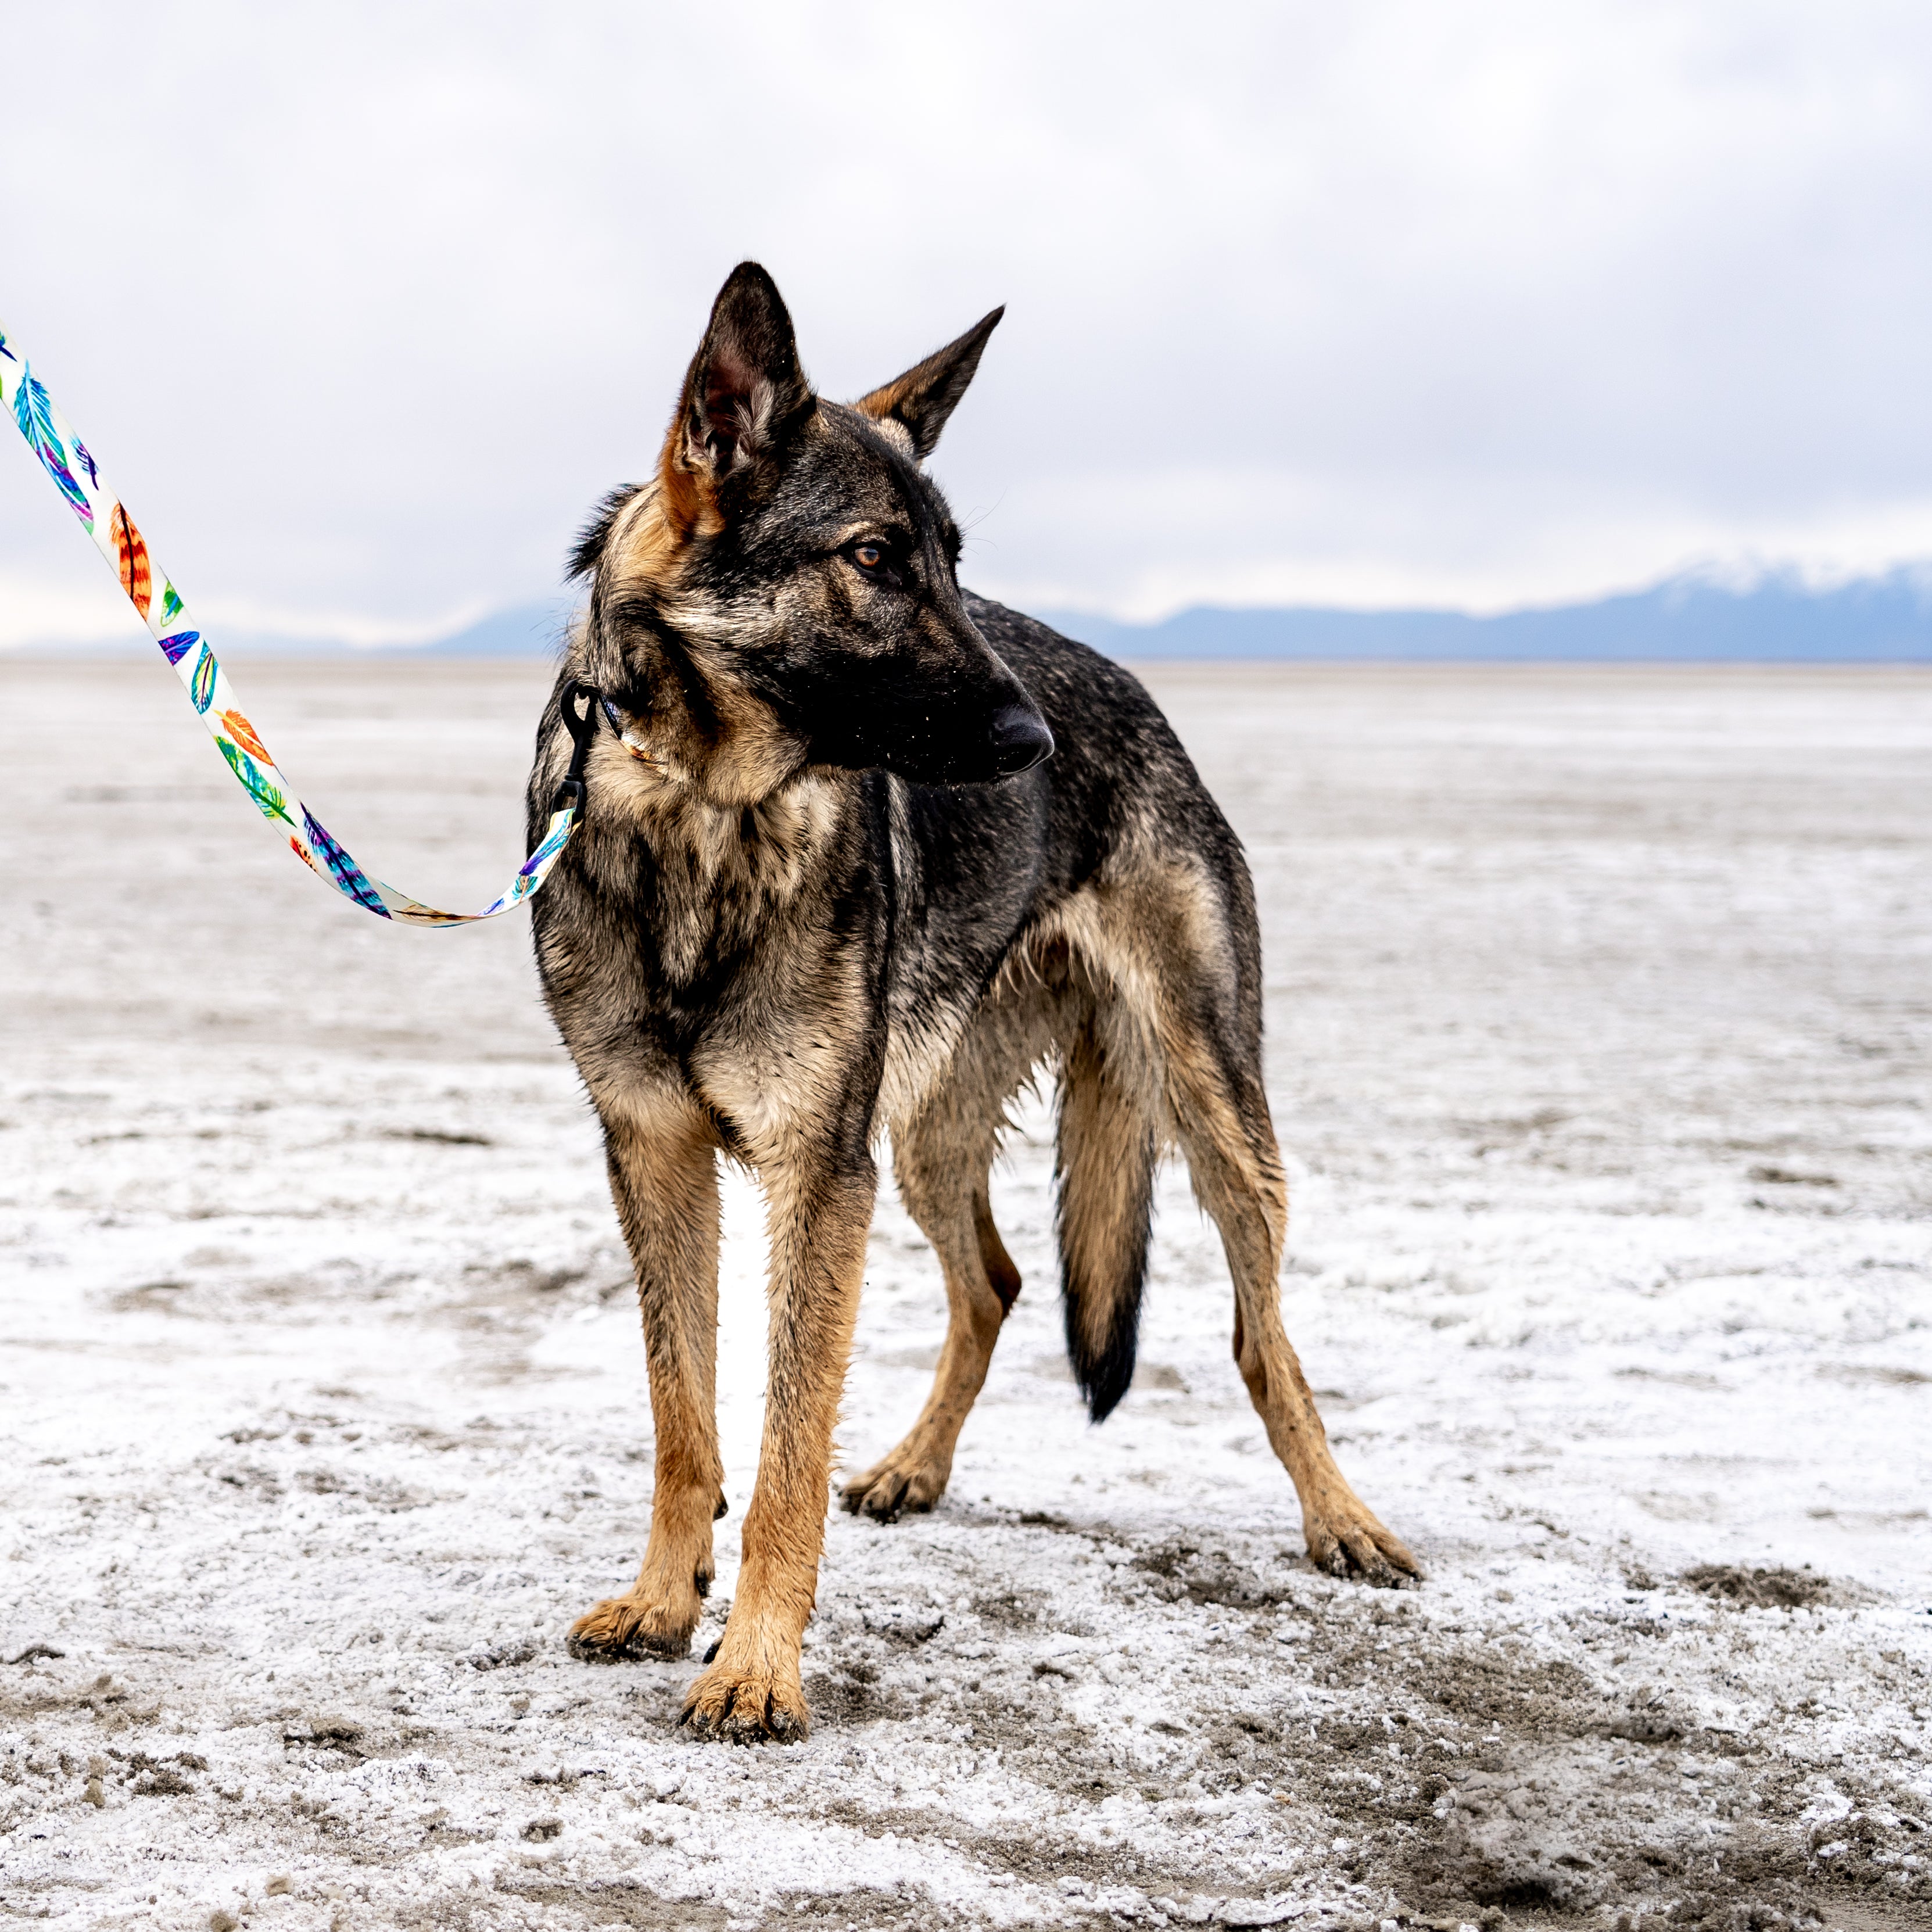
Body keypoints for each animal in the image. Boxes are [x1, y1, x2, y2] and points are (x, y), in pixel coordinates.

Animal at [529, 260, 1422, 1754]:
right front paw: (663, 1599)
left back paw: (1341, 1519)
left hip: (1213, 1112)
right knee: (998, 1282)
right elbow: (683, 1417)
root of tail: (1133, 695)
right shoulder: (654, 1155)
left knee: (1262, 1335)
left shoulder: (814, 1173)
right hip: (927, 1137)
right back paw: (913, 1466)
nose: (1034, 746)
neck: (702, 811)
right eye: (873, 558)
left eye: (955, 560)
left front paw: (755, 1667)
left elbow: (784, 1452)